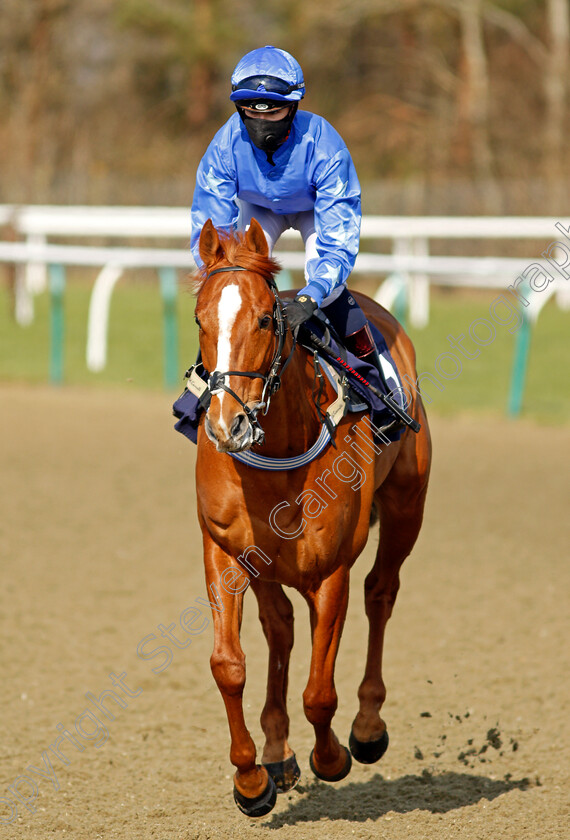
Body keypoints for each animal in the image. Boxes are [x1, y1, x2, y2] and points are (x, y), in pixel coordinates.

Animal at [191, 217, 430, 812]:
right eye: (201, 319)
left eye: (263, 318)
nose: (227, 423)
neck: (279, 449)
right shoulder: (225, 552)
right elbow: (228, 665)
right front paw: (251, 779)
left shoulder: (330, 571)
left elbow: (320, 692)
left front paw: (332, 756)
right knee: (280, 626)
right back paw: (277, 752)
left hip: (406, 506)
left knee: (381, 593)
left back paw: (367, 728)